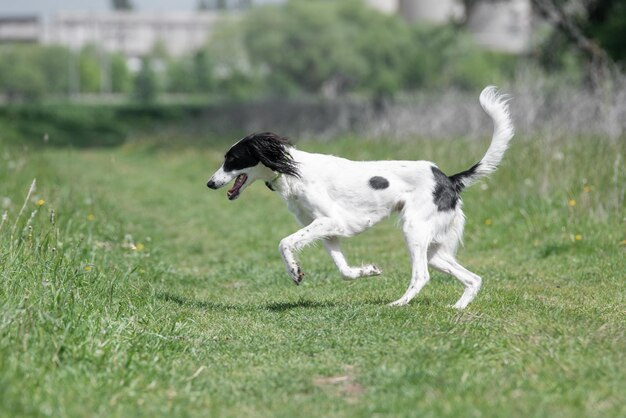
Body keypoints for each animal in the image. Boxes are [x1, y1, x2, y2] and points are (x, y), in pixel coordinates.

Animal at [207, 85, 510, 306]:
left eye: (232, 159)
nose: (210, 183)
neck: (291, 171)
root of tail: (447, 178)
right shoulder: (328, 231)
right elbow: (344, 271)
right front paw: (368, 271)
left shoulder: (329, 221)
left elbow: (284, 243)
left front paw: (294, 271)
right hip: (434, 247)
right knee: (473, 278)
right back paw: (458, 309)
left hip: (414, 231)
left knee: (422, 276)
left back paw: (398, 304)